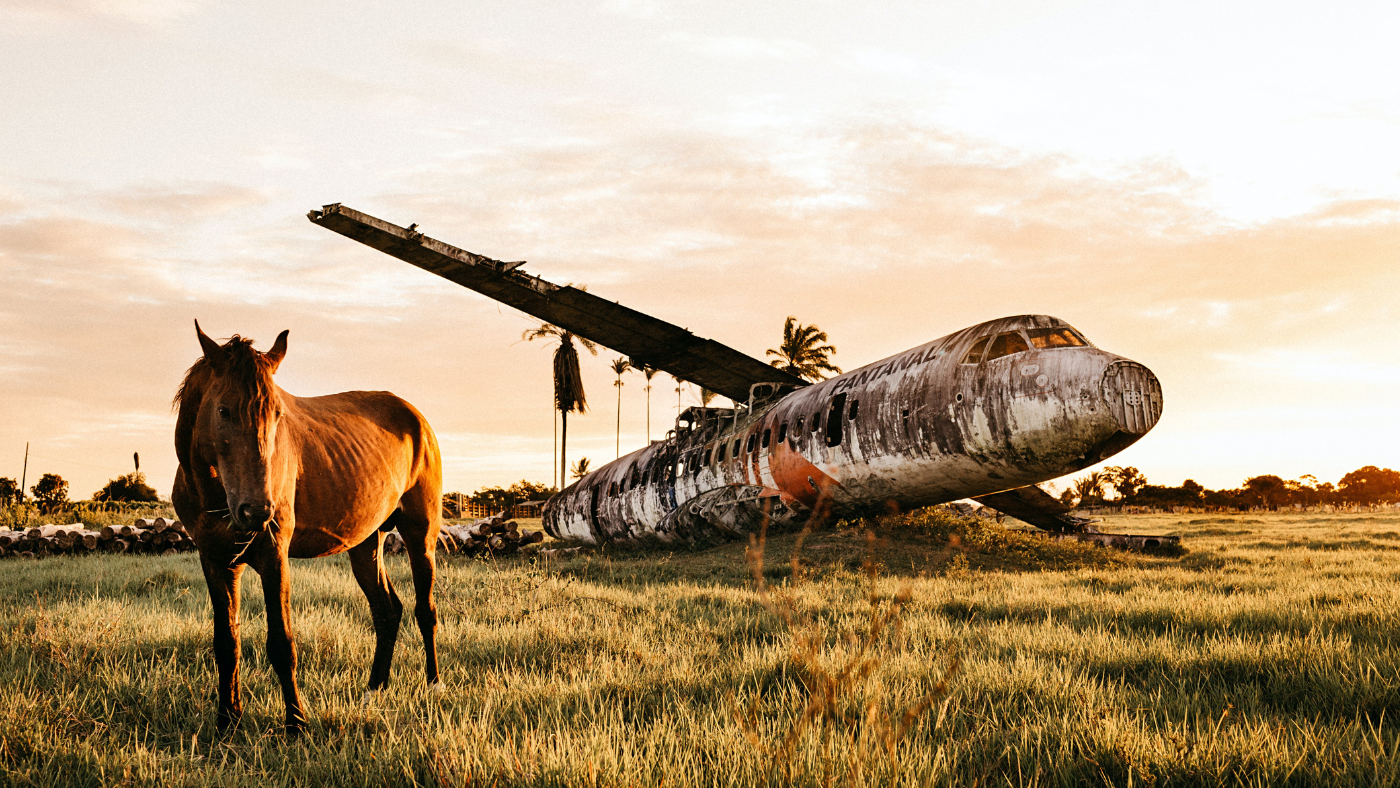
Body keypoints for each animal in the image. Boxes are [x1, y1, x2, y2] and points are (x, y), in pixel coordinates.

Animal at [171, 320, 442, 733]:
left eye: (278, 413)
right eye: (223, 410)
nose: (257, 511)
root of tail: (416, 418)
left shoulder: (274, 556)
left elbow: (282, 644)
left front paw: (296, 725)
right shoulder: (216, 561)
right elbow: (226, 643)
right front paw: (227, 723)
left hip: (420, 535)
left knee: (425, 610)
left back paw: (433, 686)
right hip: (366, 543)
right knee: (387, 610)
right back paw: (374, 691)